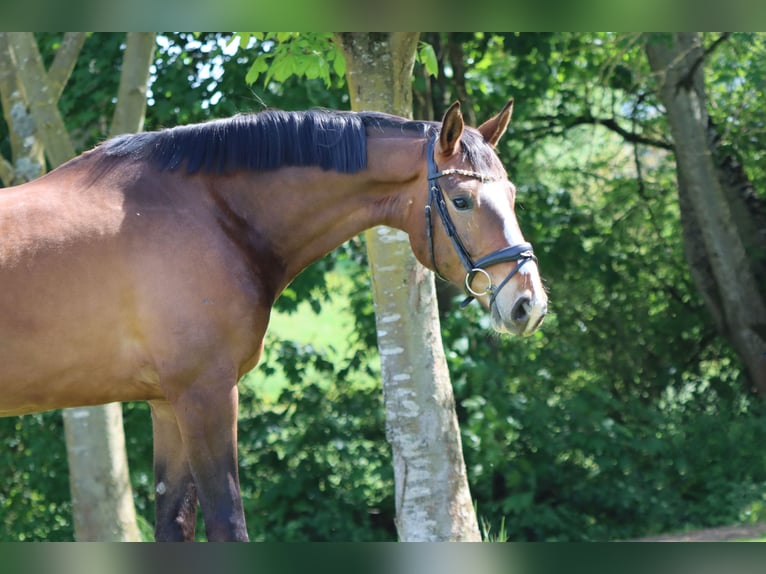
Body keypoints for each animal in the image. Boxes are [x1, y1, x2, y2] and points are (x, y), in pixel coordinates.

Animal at [0, 100, 547, 541]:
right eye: (462, 200)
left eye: (513, 195)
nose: (529, 304)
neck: (208, 214)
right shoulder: (205, 395)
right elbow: (228, 525)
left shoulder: (167, 404)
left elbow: (174, 524)